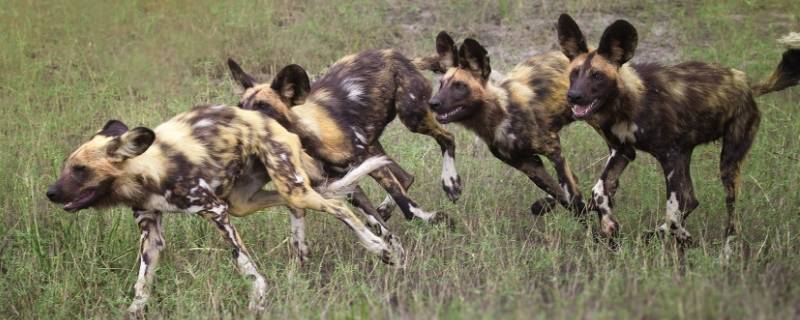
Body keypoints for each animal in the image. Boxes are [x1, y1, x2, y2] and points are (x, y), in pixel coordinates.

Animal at [46, 104, 404, 316]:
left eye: (79, 170)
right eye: (68, 167)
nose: (50, 193)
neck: (147, 172)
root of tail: (272, 121)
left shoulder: (216, 210)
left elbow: (242, 262)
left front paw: (258, 297)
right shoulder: (151, 235)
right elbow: (142, 284)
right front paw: (134, 311)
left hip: (290, 187)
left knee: (339, 203)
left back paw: (383, 250)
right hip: (249, 199)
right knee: (307, 203)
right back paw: (305, 250)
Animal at [228, 48, 460, 224]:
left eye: (262, 108)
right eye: (240, 106)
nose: (234, 124)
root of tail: (400, 56)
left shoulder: (363, 163)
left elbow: (403, 200)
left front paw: (427, 218)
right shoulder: (346, 181)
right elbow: (374, 219)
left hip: (411, 117)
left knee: (447, 138)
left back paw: (451, 184)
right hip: (374, 145)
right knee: (405, 177)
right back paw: (388, 208)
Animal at [428, 33, 592, 228]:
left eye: (459, 86)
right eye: (441, 84)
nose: (432, 103)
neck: (500, 115)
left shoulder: (554, 152)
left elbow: (573, 197)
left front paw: (598, 233)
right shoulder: (529, 165)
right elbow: (563, 195)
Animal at [556, 14, 800, 250]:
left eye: (597, 75)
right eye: (574, 73)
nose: (573, 96)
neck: (626, 104)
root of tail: (748, 86)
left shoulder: (669, 156)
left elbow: (673, 211)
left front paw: (684, 237)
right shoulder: (622, 151)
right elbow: (599, 192)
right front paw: (609, 225)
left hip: (728, 163)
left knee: (729, 214)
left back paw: (726, 250)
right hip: (686, 154)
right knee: (691, 199)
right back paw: (653, 235)